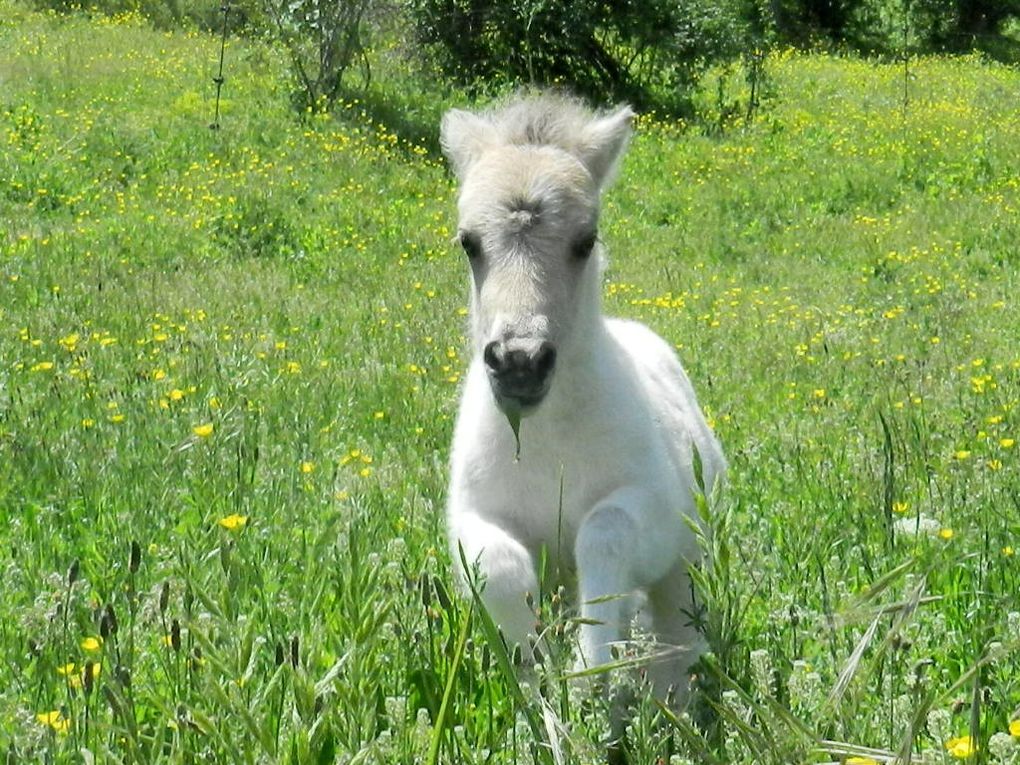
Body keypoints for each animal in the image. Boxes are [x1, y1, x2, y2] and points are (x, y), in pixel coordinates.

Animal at [440, 91, 726, 701]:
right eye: (469, 243)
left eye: (585, 240)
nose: (519, 363)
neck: (547, 446)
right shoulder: (475, 517)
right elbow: (502, 567)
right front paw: (536, 677)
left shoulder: (651, 510)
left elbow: (605, 534)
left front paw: (588, 670)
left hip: (687, 559)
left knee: (678, 634)